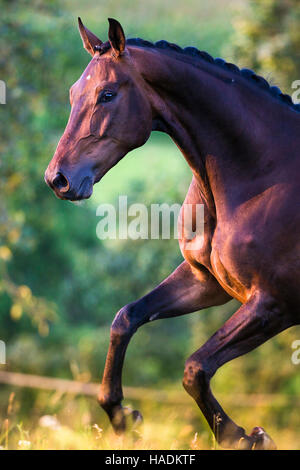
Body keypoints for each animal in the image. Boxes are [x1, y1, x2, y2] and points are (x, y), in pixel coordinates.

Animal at [45, 18, 300, 450]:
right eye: (73, 94)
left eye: (107, 94)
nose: (58, 179)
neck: (263, 173)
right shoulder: (206, 281)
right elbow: (125, 319)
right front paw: (123, 418)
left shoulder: (273, 304)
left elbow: (195, 368)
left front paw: (246, 437)